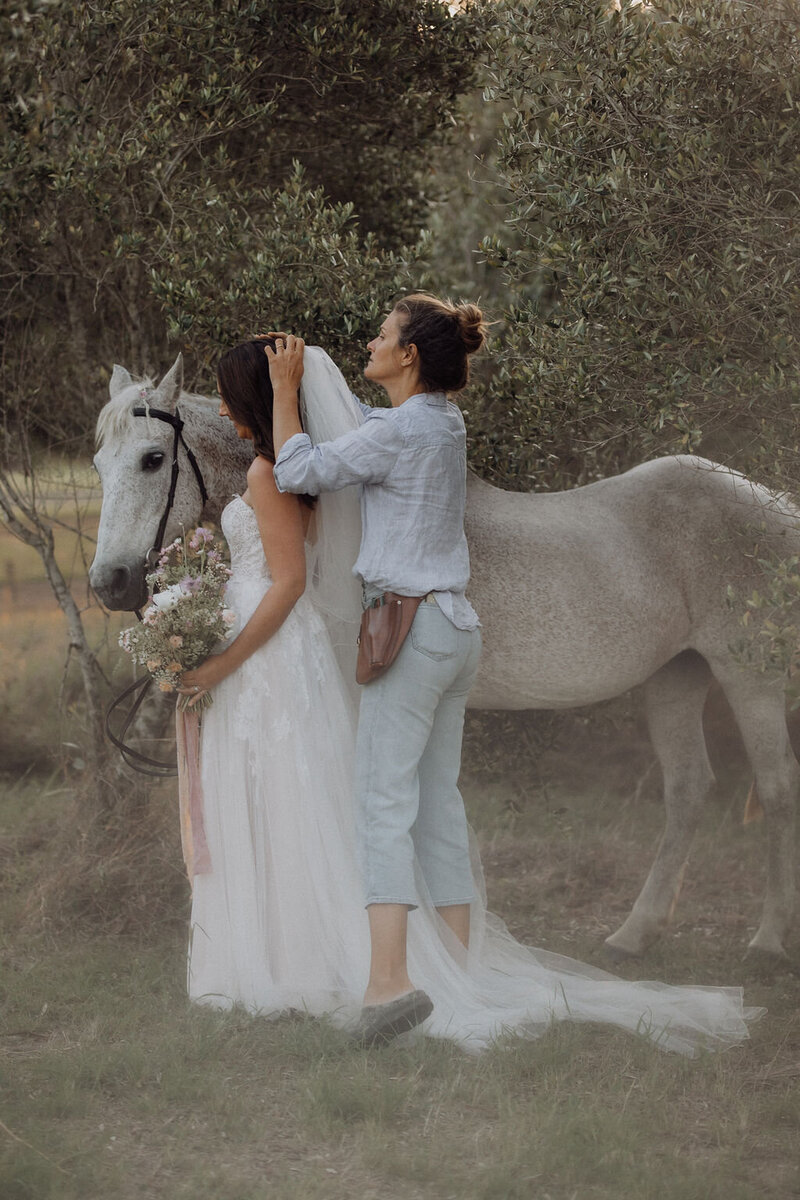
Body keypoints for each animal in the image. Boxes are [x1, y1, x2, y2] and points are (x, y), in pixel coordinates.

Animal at [90, 350, 796, 960]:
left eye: (153, 458)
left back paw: (767, 941)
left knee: (776, 786)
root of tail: (774, 503)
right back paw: (633, 935)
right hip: (676, 676)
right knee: (688, 790)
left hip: (748, 676)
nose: (109, 583)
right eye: (98, 465)